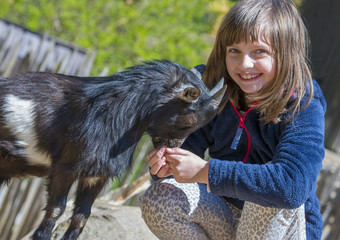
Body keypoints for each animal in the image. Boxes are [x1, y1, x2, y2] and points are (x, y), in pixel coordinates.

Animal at [0, 59, 226, 238]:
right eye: (190, 121)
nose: (173, 146)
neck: (111, 113)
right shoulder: (66, 167)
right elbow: (55, 210)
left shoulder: (96, 175)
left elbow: (81, 218)